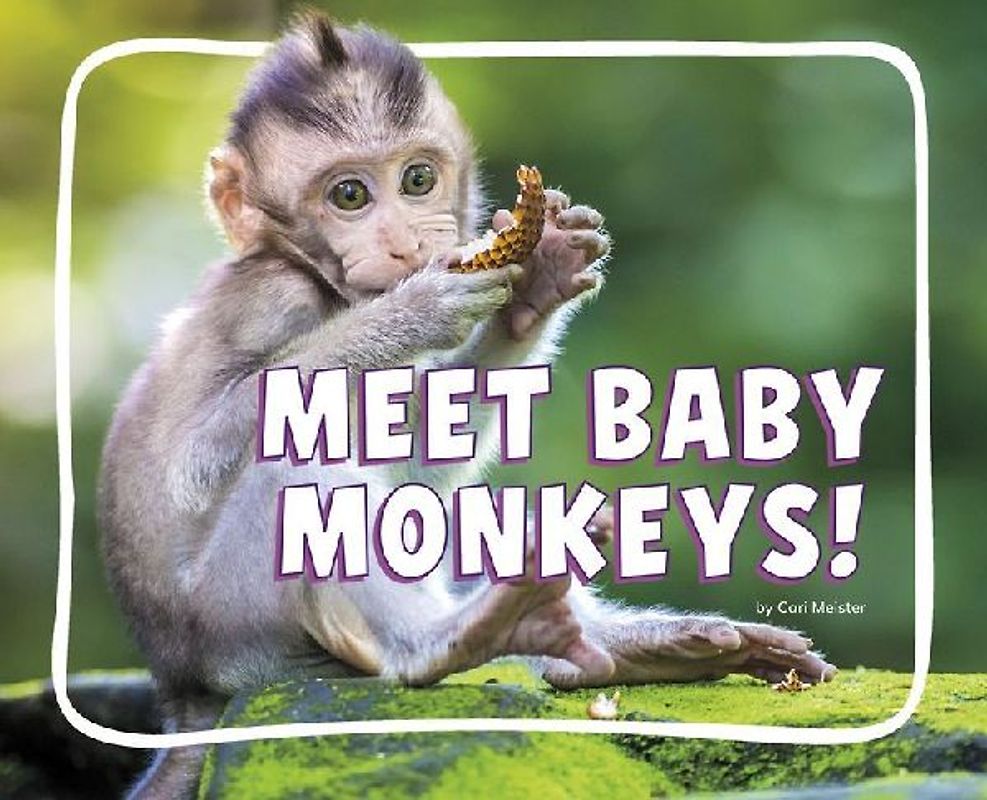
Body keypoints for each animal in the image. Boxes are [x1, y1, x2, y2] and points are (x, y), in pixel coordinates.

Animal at [98, 13, 835, 799]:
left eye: (417, 180)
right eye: (349, 196)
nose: (405, 244)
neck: (313, 277)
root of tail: (186, 698)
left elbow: (408, 468)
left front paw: (535, 286)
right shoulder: (270, 300)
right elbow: (193, 463)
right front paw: (415, 311)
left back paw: (625, 645)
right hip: (242, 622)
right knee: (294, 462)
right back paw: (443, 642)